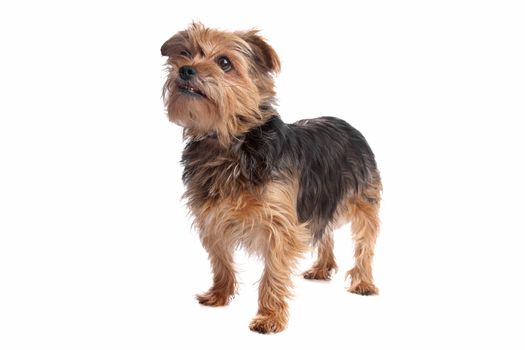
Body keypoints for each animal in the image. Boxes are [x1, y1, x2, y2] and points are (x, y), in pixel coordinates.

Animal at [160, 22, 380, 334]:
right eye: (185, 53)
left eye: (224, 62)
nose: (186, 70)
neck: (230, 143)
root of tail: (348, 125)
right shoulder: (211, 218)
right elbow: (220, 260)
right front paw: (219, 295)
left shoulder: (280, 223)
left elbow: (273, 273)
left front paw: (269, 317)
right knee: (323, 231)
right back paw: (321, 268)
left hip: (362, 198)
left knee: (365, 242)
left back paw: (363, 281)